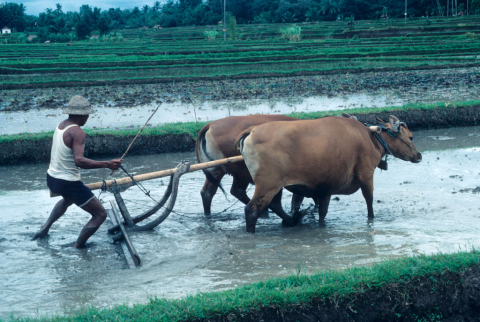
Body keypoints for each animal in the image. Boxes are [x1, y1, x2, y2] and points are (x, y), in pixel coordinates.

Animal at [235, 114, 420, 233]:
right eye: (411, 137)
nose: (419, 155)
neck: (370, 137)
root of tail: (251, 130)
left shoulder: (325, 189)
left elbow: (322, 213)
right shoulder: (366, 174)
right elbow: (369, 200)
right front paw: (371, 219)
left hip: (276, 186)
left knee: (275, 205)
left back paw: (293, 220)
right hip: (267, 185)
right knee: (252, 210)